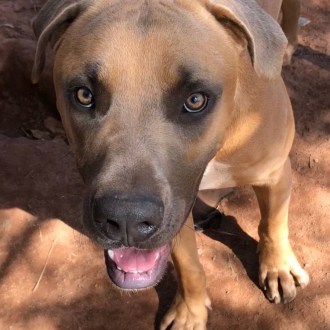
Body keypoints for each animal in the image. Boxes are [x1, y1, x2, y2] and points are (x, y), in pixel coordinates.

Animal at [32, 1, 308, 328]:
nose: (126, 218)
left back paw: (288, 44)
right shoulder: (177, 211)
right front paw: (191, 310)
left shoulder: (275, 174)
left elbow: (272, 224)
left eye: (196, 100)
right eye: (84, 95)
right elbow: (187, 263)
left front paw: (278, 267)